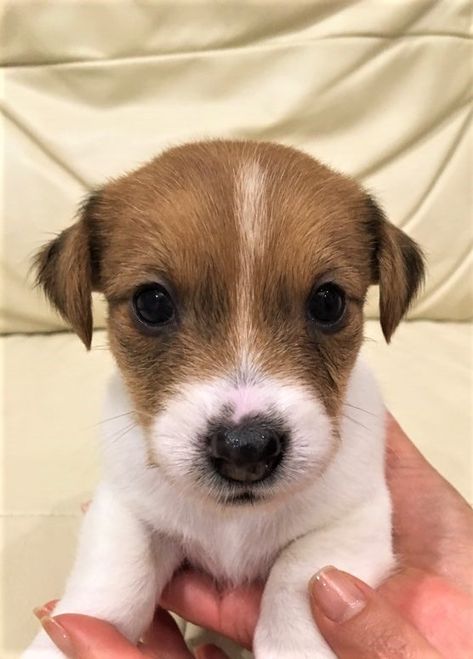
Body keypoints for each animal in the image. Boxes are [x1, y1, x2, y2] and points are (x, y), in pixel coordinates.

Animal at [24, 141, 424, 659]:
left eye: (328, 302)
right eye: (152, 303)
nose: (246, 450)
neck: (234, 522)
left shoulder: (353, 523)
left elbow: (294, 585)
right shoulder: (126, 507)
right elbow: (111, 582)